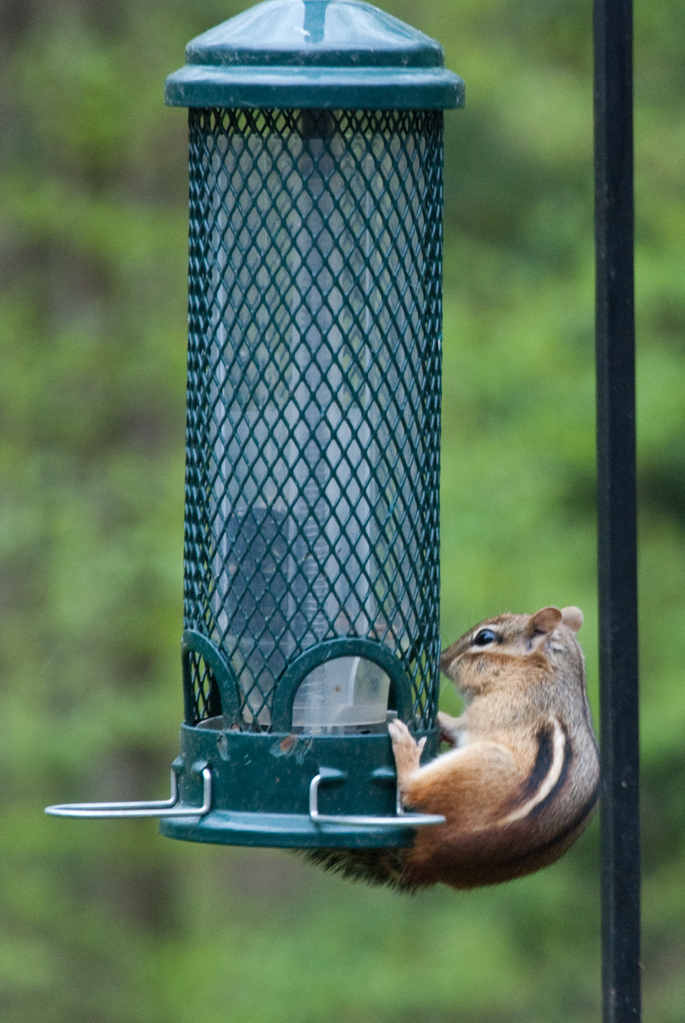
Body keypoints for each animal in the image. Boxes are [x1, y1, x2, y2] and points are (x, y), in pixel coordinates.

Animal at [307, 606, 600, 892]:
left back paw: (406, 748)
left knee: (411, 788)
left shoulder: (496, 712)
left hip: (479, 767)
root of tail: (428, 861)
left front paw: (433, 718)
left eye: (485, 637)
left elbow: (459, 726)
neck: (538, 672)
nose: (444, 659)